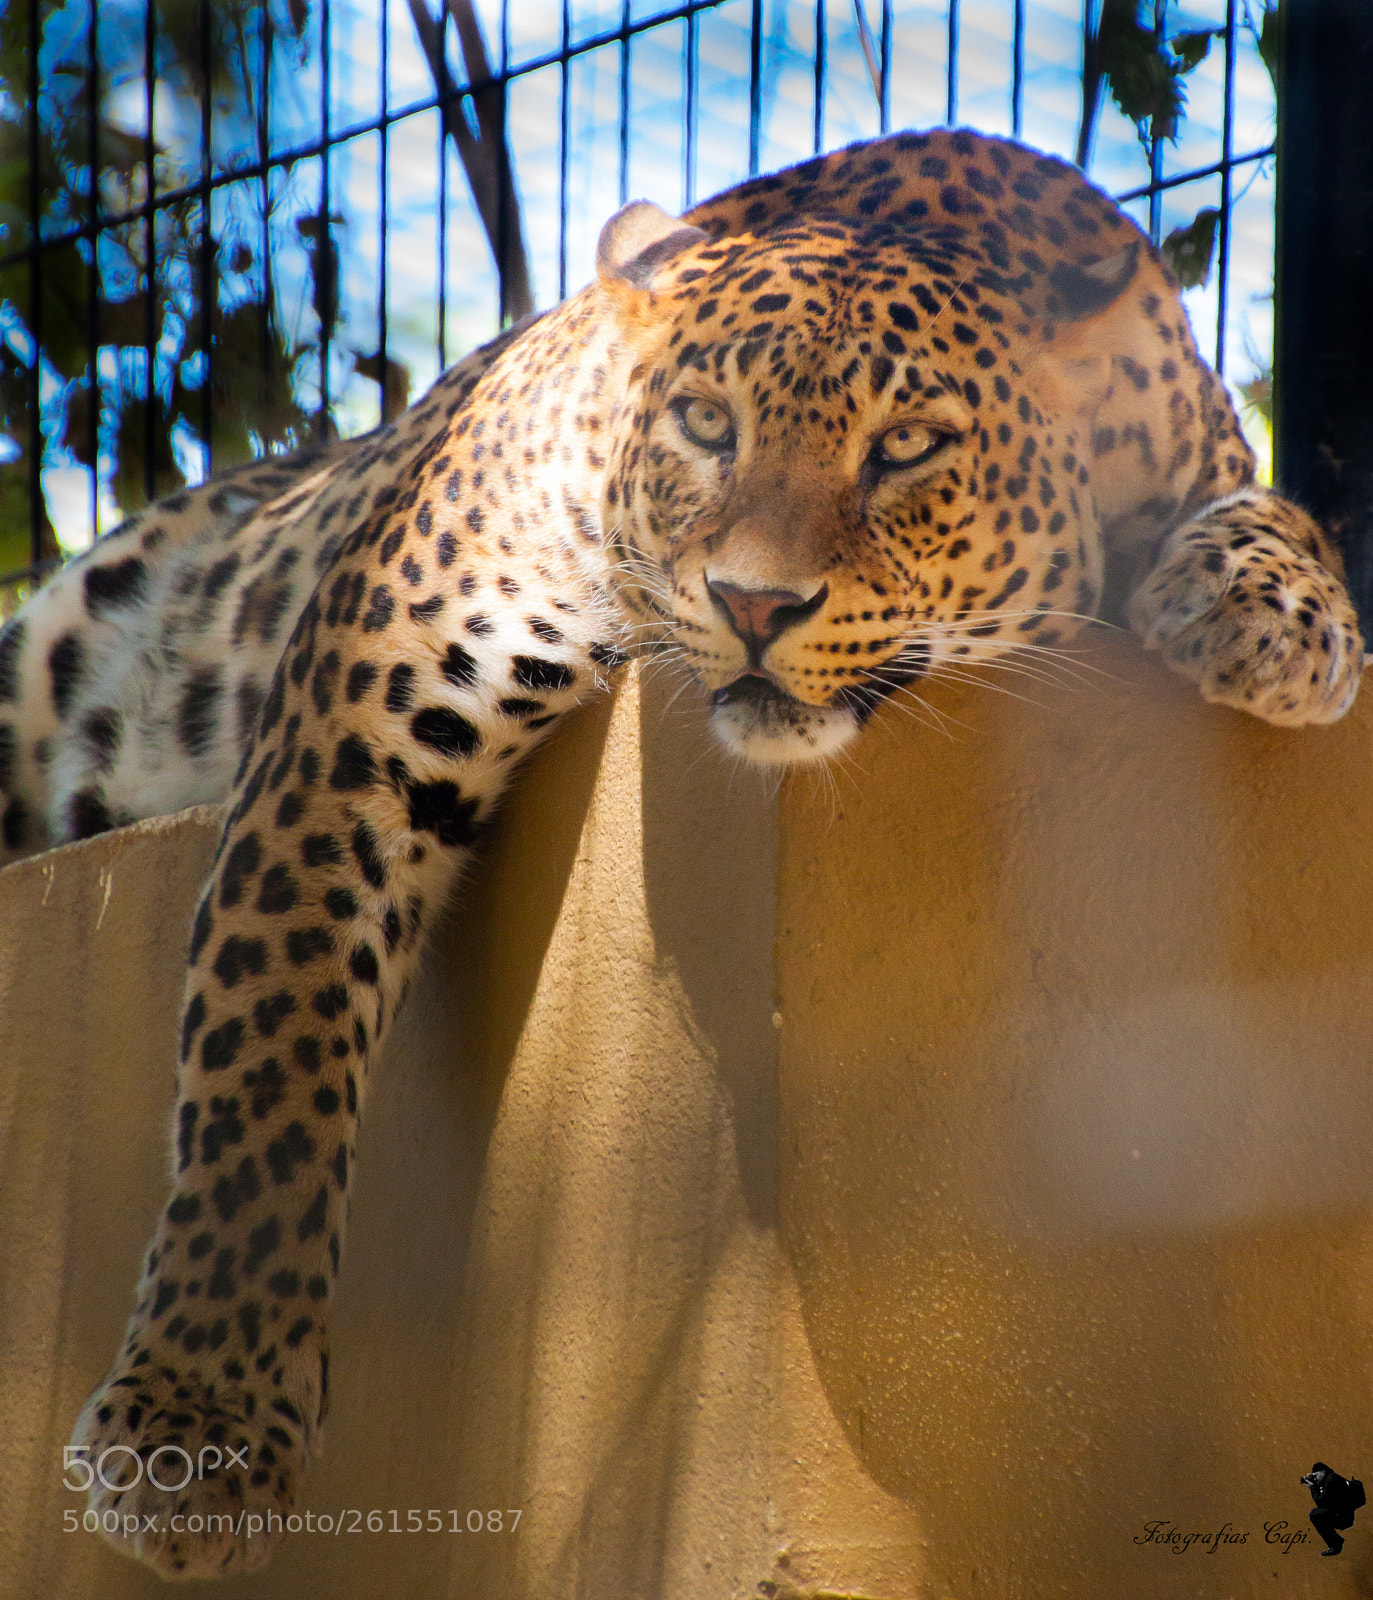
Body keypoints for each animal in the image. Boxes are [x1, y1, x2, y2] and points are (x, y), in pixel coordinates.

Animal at [0, 127, 1362, 1579]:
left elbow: (1273, 502)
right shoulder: (355, 717)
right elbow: (271, 1047)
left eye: (909, 448)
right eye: (707, 424)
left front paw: (1272, 609)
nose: (754, 605)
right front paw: (196, 1425)